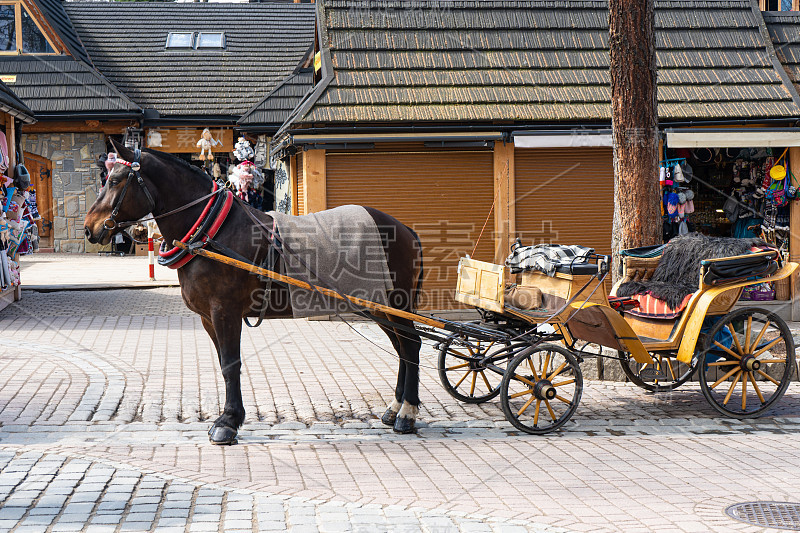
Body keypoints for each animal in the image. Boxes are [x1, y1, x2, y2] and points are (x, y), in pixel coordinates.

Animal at [83, 142, 424, 444]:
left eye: (114, 180)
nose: (89, 228)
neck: (214, 231)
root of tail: (404, 228)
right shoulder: (208, 317)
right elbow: (223, 362)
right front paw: (229, 417)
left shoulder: (225, 311)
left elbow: (230, 364)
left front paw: (228, 421)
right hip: (379, 306)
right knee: (402, 349)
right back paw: (395, 407)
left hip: (395, 303)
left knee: (411, 346)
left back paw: (407, 412)